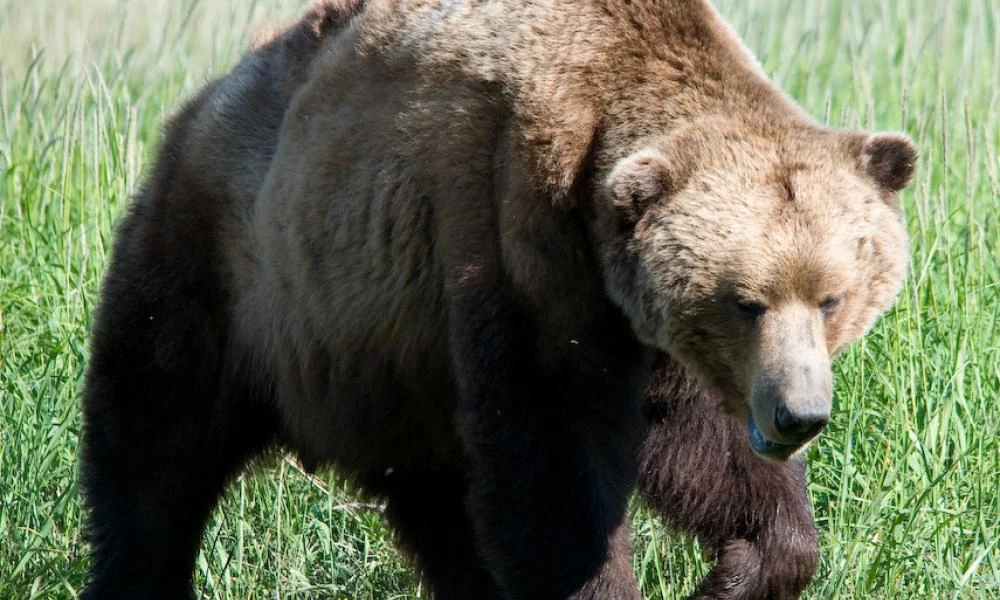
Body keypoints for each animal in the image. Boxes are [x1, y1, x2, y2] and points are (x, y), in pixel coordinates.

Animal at [82, 1, 916, 600]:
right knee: (154, 448)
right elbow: (554, 461)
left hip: (396, 373)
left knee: (440, 506)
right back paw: (135, 575)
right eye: (745, 301)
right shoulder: (518, 243)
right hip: (230, 271)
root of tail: (208, 96)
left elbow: (708, 453)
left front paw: (738, 571)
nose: (798, 416)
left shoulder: (647, 333)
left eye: (832, 297)